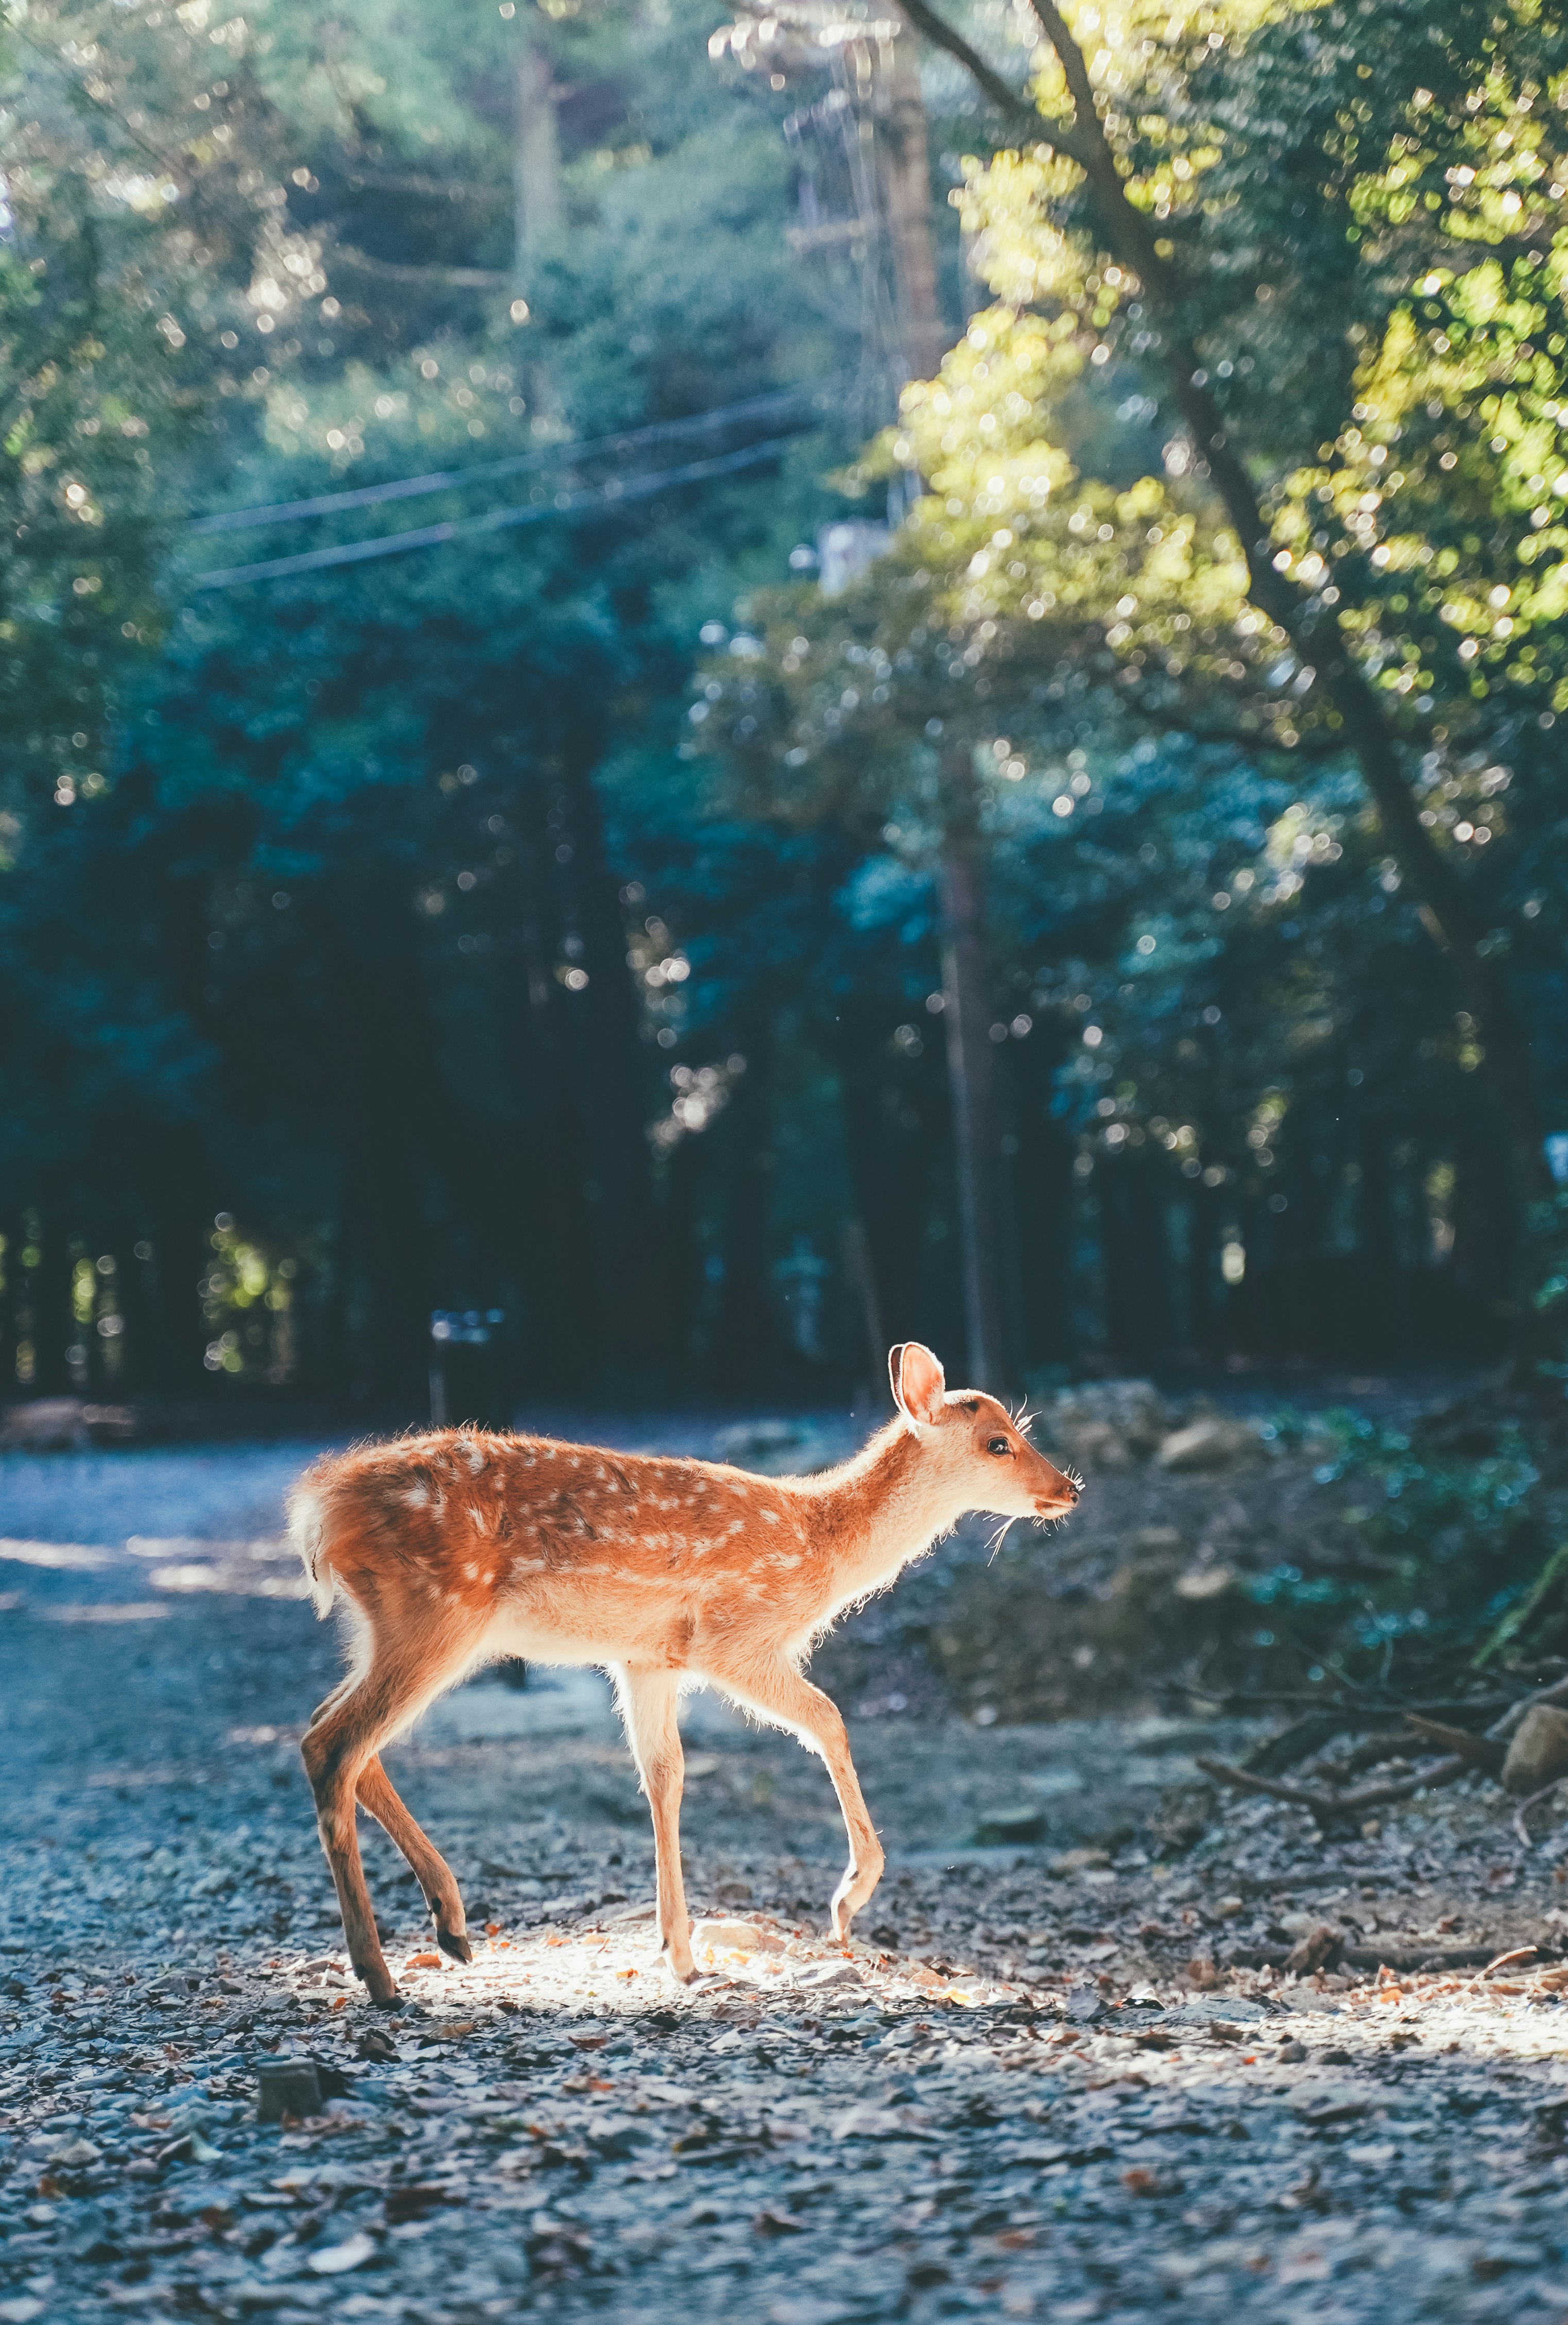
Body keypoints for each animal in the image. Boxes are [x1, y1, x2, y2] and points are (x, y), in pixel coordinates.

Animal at [289, 1341, 1081, 2004]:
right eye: (998, 1441)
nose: (1069, 1487)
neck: (818, 1546)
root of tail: (320, 1511)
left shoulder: (647, 1657)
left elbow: (664, 1775)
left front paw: (679, 1950)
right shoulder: (732, 1638)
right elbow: (828, 1717)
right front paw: (847, 1900)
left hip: (388, 1624)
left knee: (337, 1734)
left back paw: (451, 1927)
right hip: (437, 1610)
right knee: (333, 1743)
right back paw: (380, 1974)